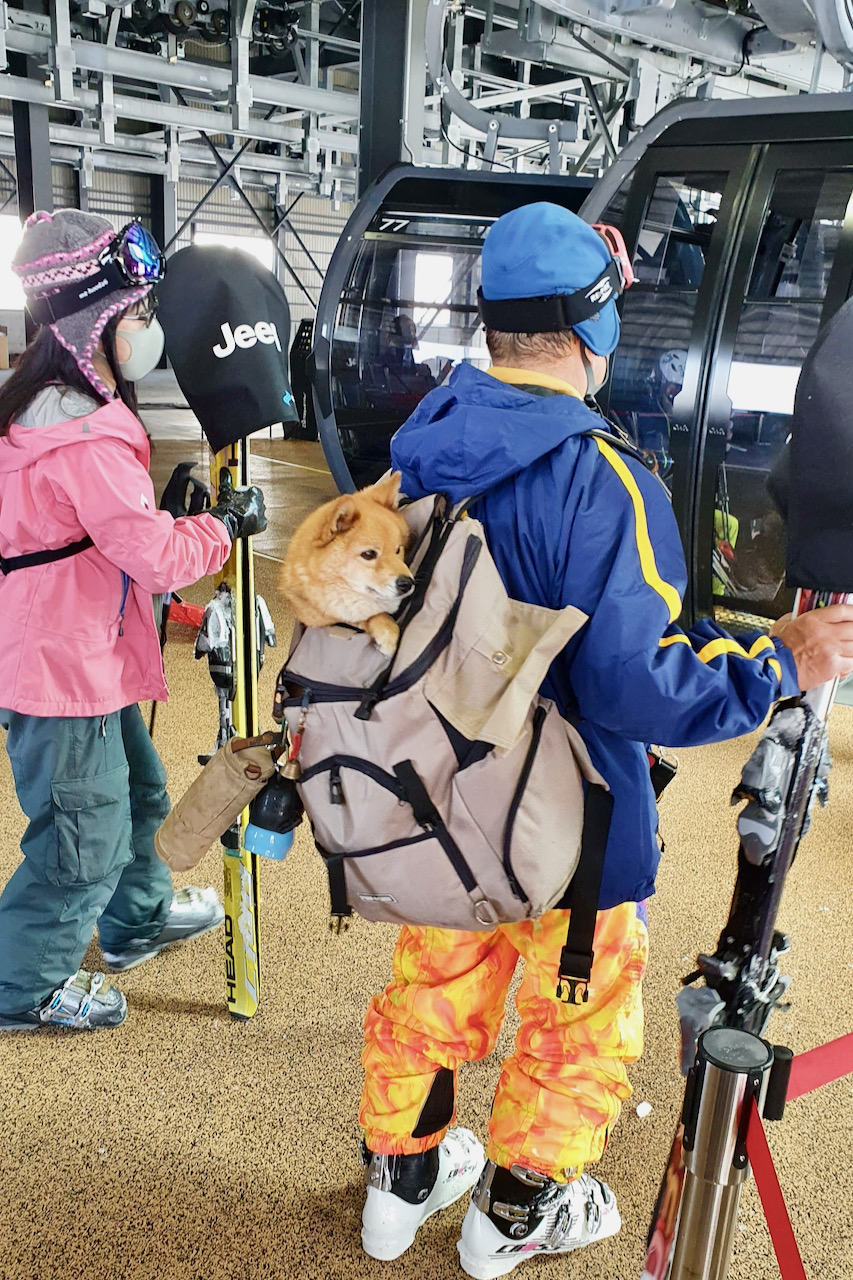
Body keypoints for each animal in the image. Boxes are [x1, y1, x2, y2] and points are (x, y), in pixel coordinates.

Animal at [280, 471, 412, 655]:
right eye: (369, 554)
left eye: (398, 550)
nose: (407, 583)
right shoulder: (322, 615)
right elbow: (362, 615)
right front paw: (387, 630)